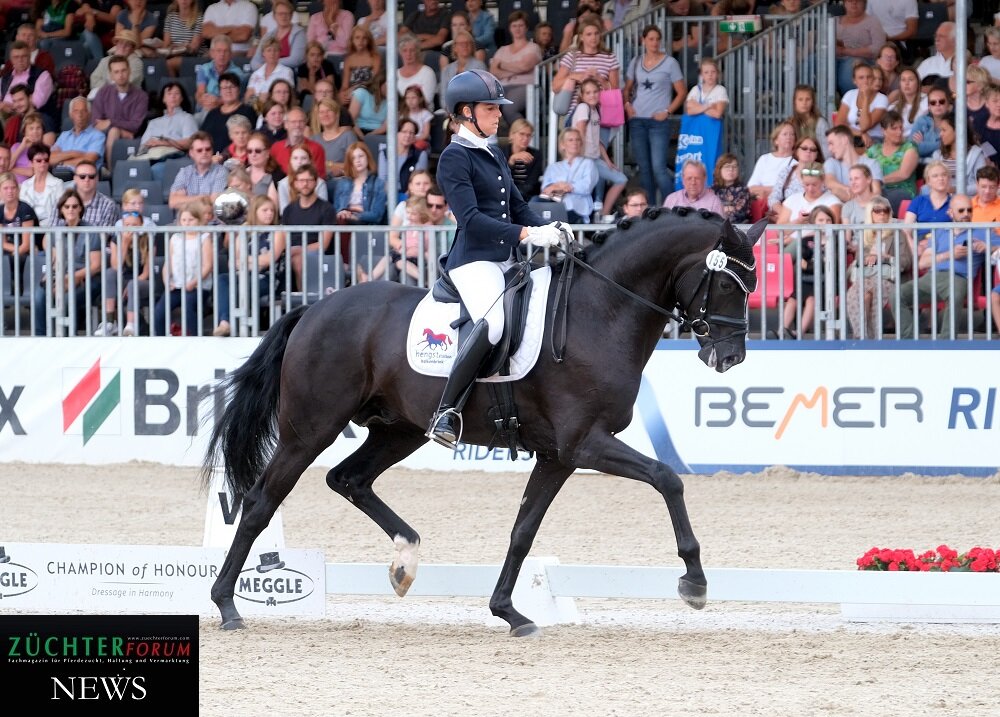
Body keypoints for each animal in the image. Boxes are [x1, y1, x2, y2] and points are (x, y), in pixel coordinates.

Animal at [202, 207, 766, 636]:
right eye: (727, 284)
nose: (730, 358)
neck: (599, 312)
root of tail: (315, 309)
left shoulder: (559, 455)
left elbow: (523, 529)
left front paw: (510, 612)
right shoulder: (585, 443)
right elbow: (668, 478)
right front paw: (695, 582)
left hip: (400, 430)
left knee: (349, 479)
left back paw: (405, 561)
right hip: (310, 429)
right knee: (259, 502)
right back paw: (226, 605)